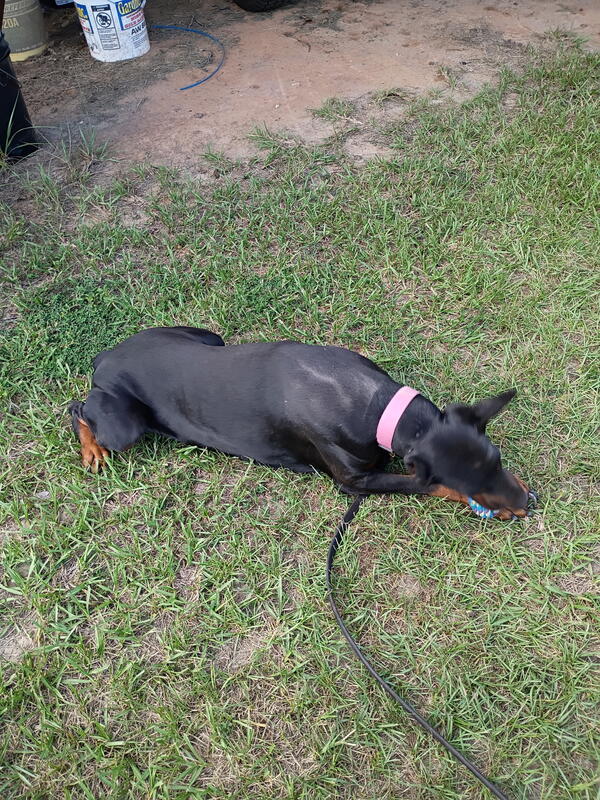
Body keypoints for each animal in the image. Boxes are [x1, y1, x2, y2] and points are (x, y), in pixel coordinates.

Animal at [70, 327, 534, 520]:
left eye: (498, 459)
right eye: (468, 483)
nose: (528, 503)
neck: (375, 406)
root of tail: (105, 356)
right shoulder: (353, 482)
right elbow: (427, 485)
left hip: (208, 336)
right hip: (123, 424)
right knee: (76, 407)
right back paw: (92, 450)